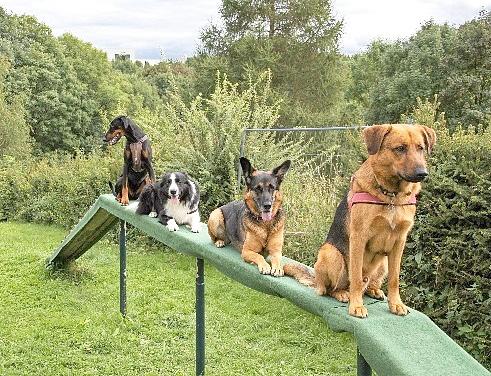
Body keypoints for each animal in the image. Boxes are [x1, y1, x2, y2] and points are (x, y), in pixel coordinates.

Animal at [284, 123, 438, 318]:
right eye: (400, 148)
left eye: (421, 148)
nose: (422, 173)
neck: (391, 197)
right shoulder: (359, 238)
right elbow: (355, 277)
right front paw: (356, 306)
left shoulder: (399, 243)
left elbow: (394, 279)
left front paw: (396, 304)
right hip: (331, 254)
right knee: (333, 288)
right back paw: (343, 294)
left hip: (383, 263)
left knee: (369, 283)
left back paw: (373, 290)